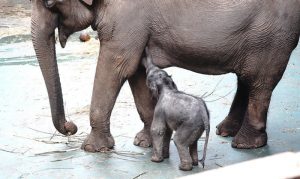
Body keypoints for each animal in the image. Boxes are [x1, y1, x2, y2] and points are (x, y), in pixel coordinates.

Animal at [31, 0, 300, 152]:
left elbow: (117, 65)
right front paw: (145, 142)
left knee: (261, 82)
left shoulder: (128, 18)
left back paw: (245, 143)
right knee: (248, 78)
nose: (70, 127)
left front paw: (93, 149)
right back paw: (227, 130)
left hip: (272, 37)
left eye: (49, 2)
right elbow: (136, 71)